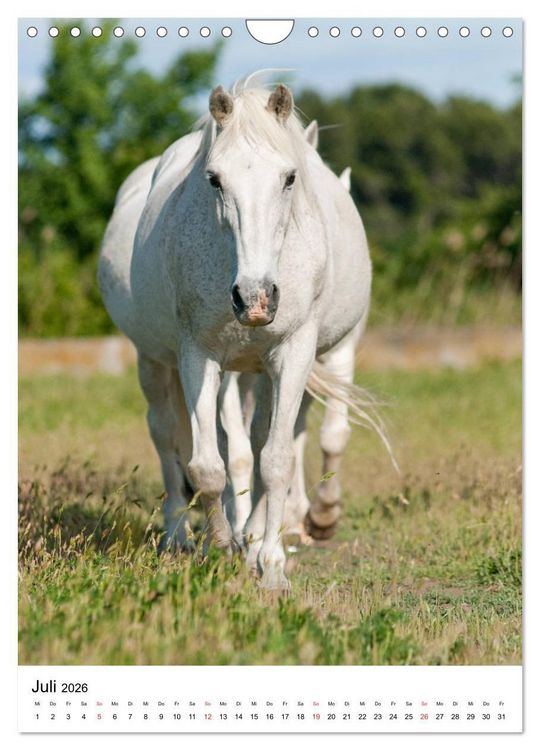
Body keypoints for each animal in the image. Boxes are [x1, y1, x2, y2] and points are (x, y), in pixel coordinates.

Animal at [99, 77, 376, 590]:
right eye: (214, 179)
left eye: (289, 178)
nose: (255, 298)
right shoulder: (199, 356)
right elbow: (210, 465)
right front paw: (224, 545)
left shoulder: (297, 353)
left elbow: (278, 457)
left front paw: (270, 564)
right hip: (154, 360)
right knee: (167, 433)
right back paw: (179, 535)